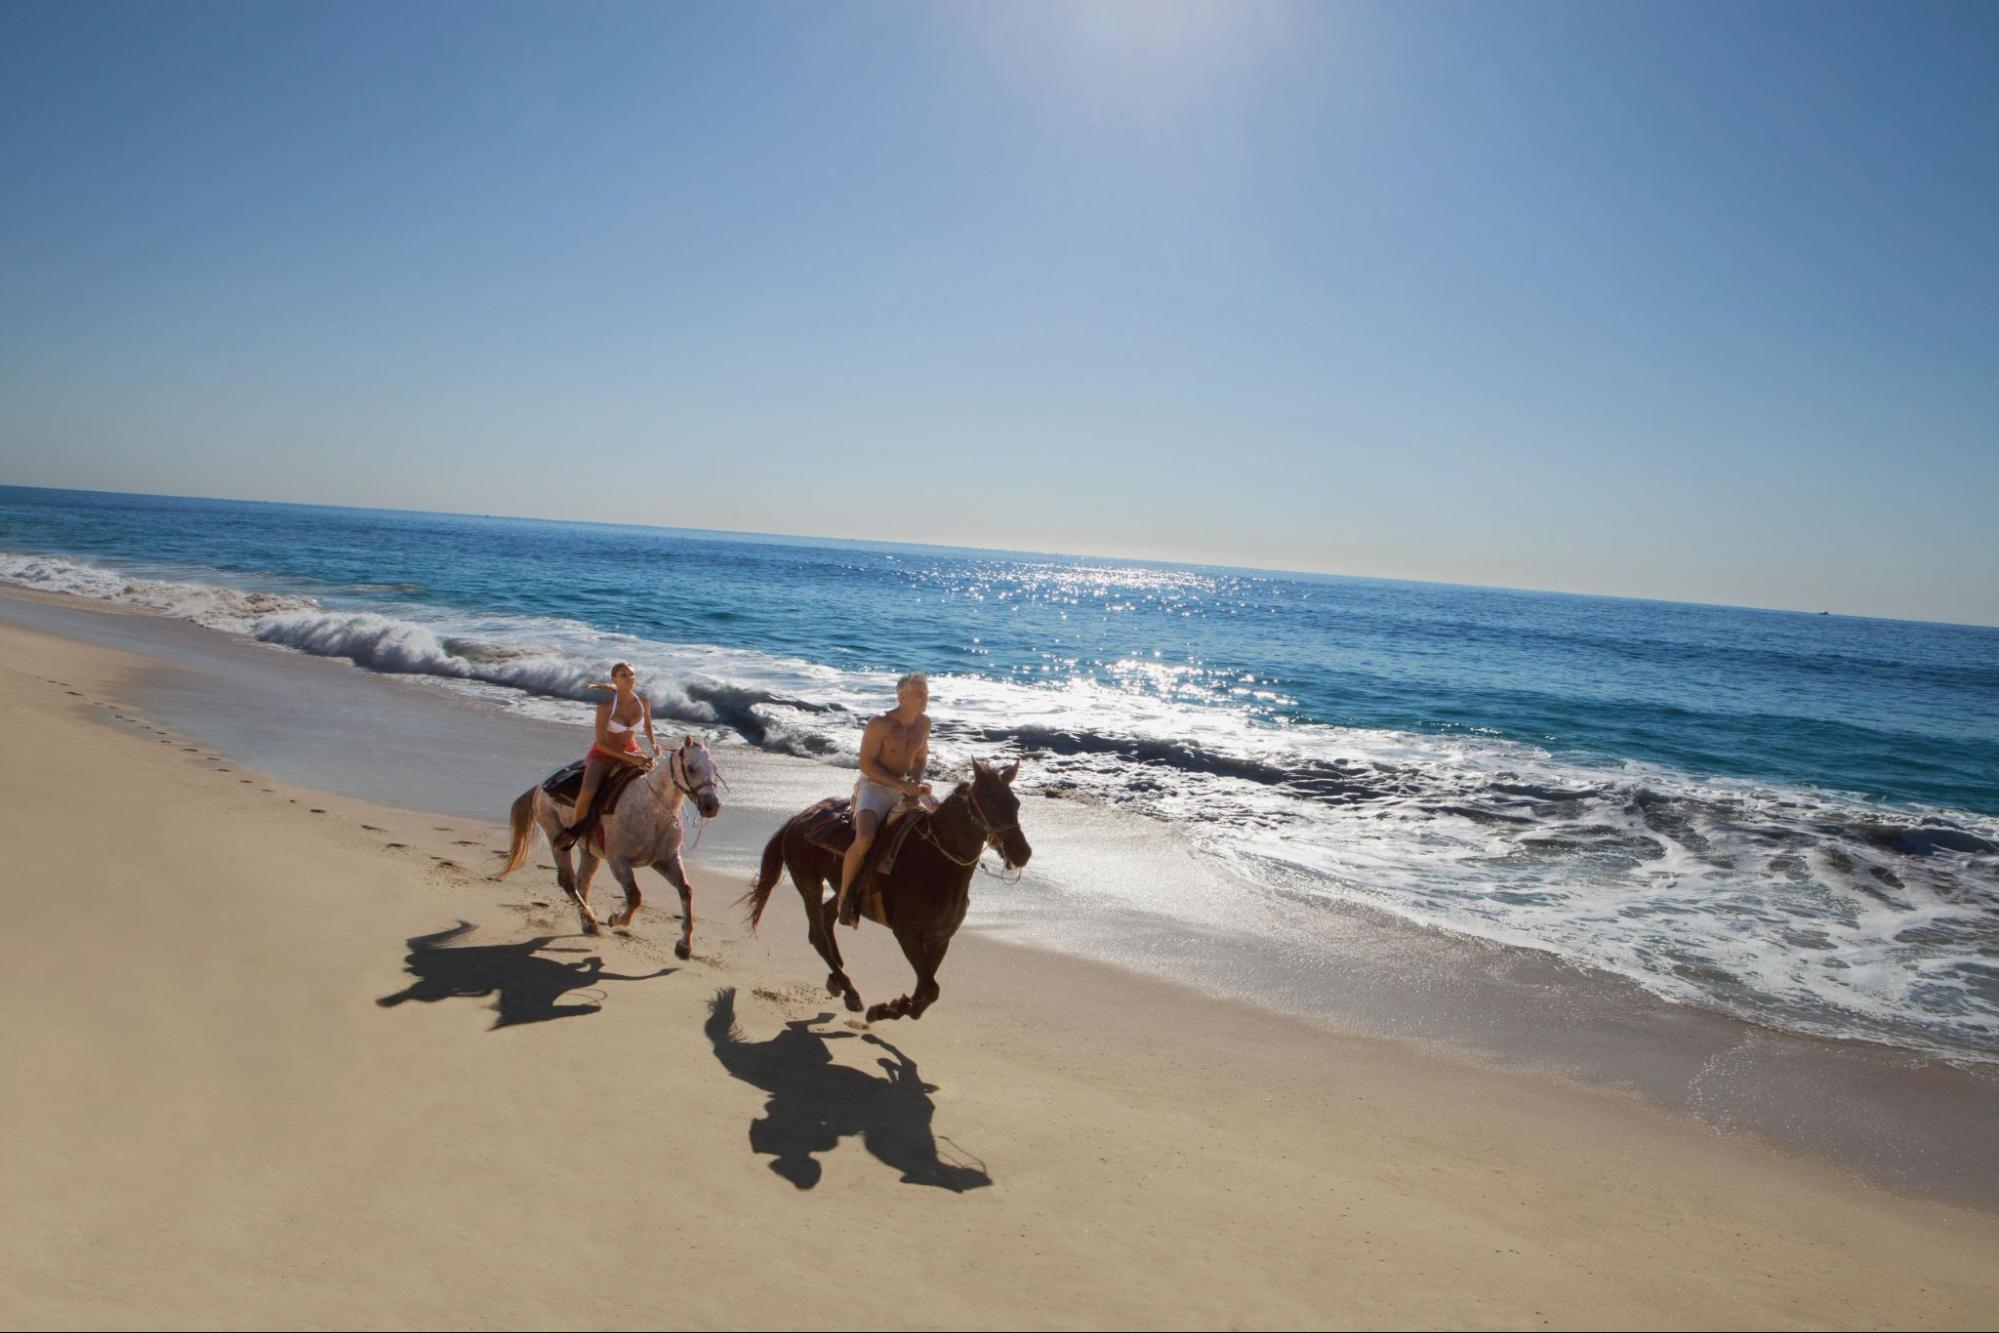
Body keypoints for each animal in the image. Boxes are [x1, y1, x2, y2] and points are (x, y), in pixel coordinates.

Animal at [747, 759, 1031, 1023]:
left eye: (1016, 804)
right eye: (990, 805)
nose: (1022, 853)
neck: (937, 861)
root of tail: (796, 820)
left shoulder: (940, 939)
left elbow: (924, 993)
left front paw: (892, 1007)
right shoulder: (908, 935)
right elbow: (929, 990)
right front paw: (884, 1009)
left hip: (840, 889)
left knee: (829, 916)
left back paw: (838, 979)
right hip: (808, 882)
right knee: (817, 934)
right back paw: (849, 991)